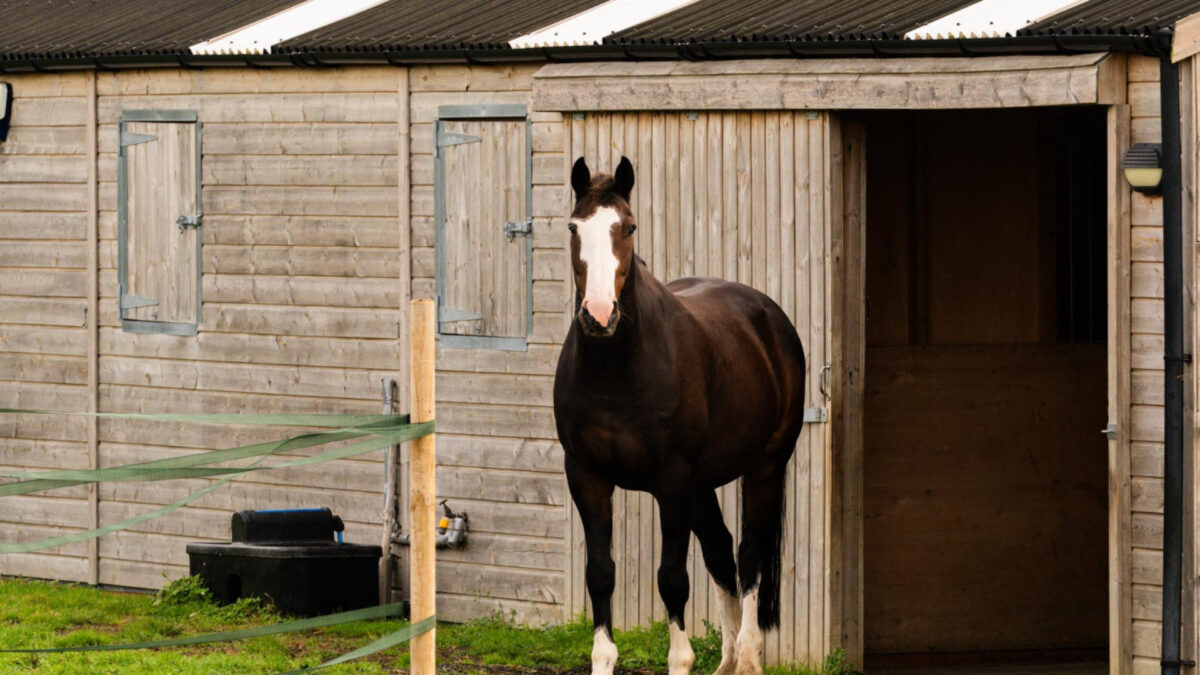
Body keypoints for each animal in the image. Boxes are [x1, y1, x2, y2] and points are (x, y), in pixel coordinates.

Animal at [552, 157, 806, 672]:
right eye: (573, 227)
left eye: (628, 227)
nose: (600, 315)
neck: (616, 370)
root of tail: (770, 317)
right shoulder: (586, 476)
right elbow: (600, 573)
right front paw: (603, 657)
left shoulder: (670, 483)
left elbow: (672, 579)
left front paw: (681, 658)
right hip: (702, 484)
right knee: (721, 551)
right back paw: (728, 660)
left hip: (764, 467)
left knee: (749, 558)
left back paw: (749, 657)